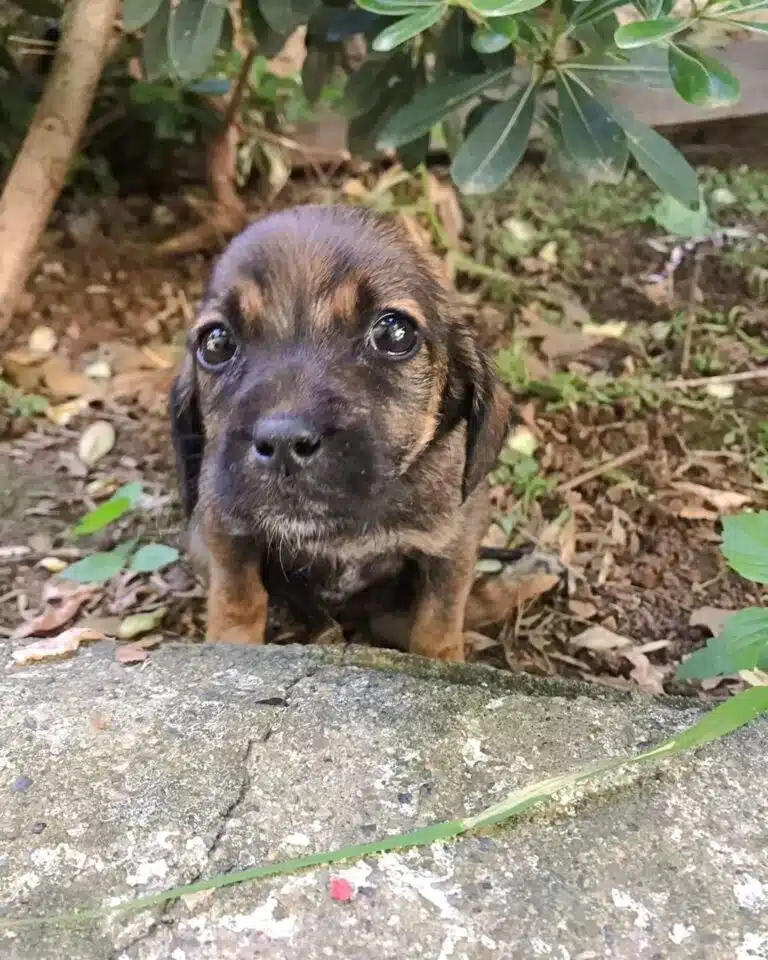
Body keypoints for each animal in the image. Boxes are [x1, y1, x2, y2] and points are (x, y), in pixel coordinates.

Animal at [168, 204, 510, 660]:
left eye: (394, 333)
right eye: (216, 343)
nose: (283, 443)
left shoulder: (453, 545)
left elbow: (438, 620)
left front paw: (442, 660)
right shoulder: (226, 529)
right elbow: (238, 598)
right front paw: (232, 648)